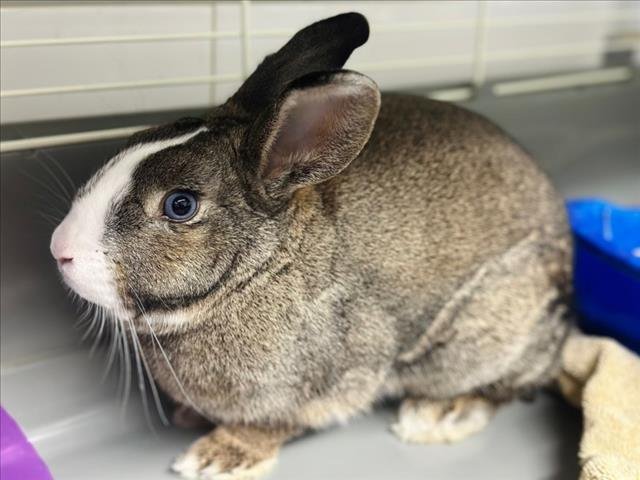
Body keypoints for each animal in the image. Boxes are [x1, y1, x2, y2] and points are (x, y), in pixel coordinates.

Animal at [50, 12, 573, 480]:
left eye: (180, 205)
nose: (59, 249)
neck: (258, 271)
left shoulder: (327, 381)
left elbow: (271, 426)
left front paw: (217, 458)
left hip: (483, 338)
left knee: (513, 382)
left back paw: (438, 415)